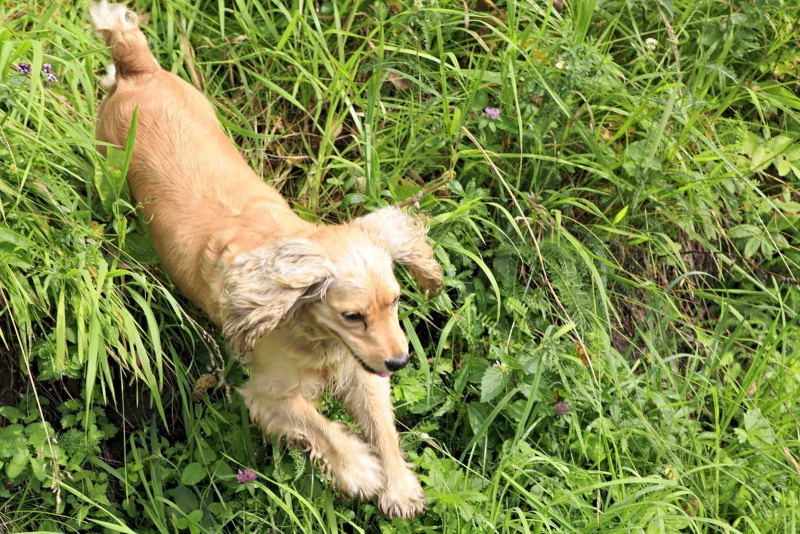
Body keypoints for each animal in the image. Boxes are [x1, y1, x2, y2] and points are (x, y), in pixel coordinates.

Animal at [90, 0, 444, 520]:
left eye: (396, 302)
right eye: (352, 315)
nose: (400, 361)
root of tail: (139, 70)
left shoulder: (364, 369)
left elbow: (383, 425)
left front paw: (399, 488)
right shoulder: (268, 392)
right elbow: (317, 424)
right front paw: (359, 470)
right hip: (109, 172)